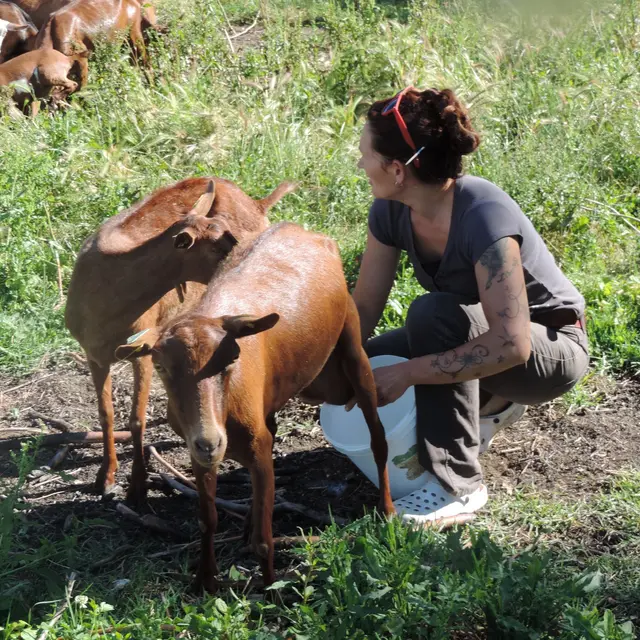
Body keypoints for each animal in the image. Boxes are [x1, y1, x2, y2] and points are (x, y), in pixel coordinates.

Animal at [65, 176, 296, 504]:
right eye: (215, 247)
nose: (247, 253)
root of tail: (258, 204)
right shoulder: (94, 354)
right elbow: (106, 414)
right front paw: (105, 477)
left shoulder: (143, 350)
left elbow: (136, 419)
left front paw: (137, 486)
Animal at [115, 222, 396, 592]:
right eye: (160, 367)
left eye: (231, 360)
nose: (211, 442)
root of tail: (301, 230)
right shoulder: (198, 453)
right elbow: (207, 520)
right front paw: (205, 580)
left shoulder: (257, 451)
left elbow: (265, 540)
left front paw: (270, 591)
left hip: (351, 345)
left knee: (377, 435)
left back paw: (388, 511)